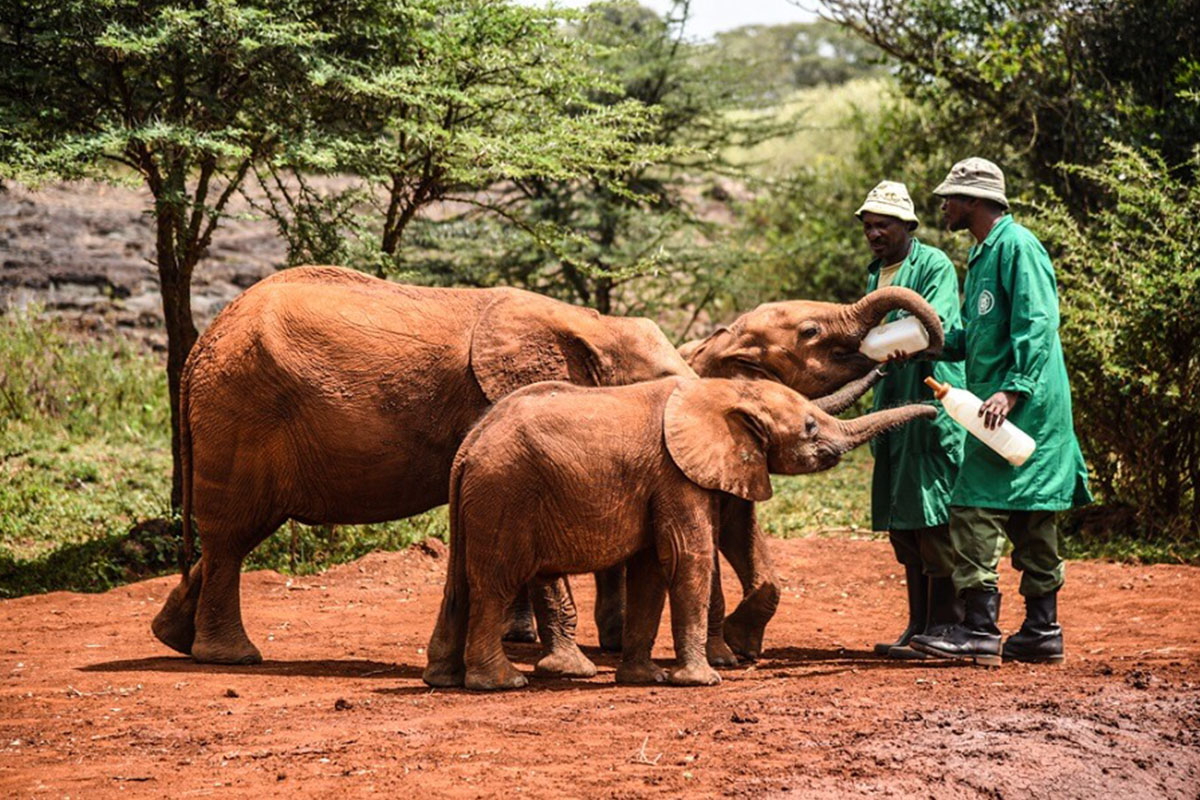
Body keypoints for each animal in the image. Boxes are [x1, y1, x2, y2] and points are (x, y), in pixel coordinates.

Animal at [150, 266, 696, 666]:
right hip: (242, 412)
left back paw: (171, 637)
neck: (593, 324)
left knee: (234, 534)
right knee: (233, 534)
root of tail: (199, 348)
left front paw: (520, 640)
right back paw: (231, 657)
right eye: (663, 380)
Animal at [422, 374, 936, 690]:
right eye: (810, 426)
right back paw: (502, 682)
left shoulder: (662, 480)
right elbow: (689, 558)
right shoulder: (676, 474)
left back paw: (443, 679)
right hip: (506, 492)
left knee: (459, 583)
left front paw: (644, 678)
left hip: (482, 498)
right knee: (495, 581)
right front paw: (703, 682)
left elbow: (651, 570)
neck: (728, 391)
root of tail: (469, 447)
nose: (936, 408)